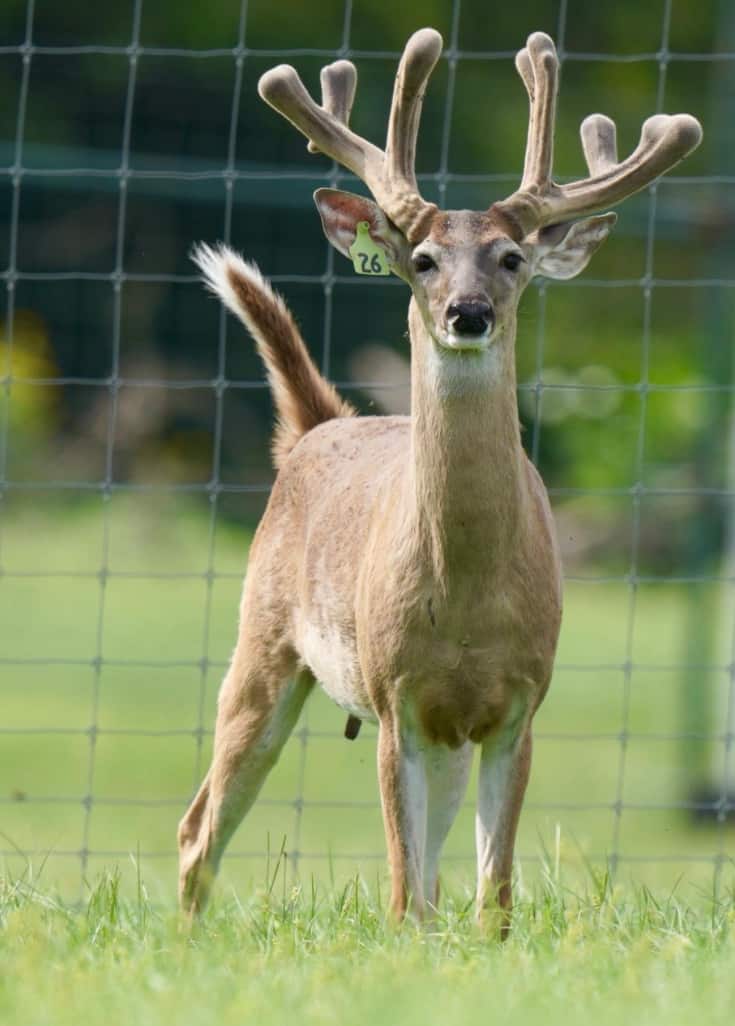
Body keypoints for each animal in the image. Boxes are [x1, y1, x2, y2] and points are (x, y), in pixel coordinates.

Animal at [177, 27, 701, 931]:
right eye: (421, 259)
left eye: (511, 257)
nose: (467, 312)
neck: (467, 601)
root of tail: (317, 425)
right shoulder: (396, 700)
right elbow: (402, 897)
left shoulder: (516, 705)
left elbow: (492, 895)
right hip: (262, 641)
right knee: (199, 827)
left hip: (440, 736)